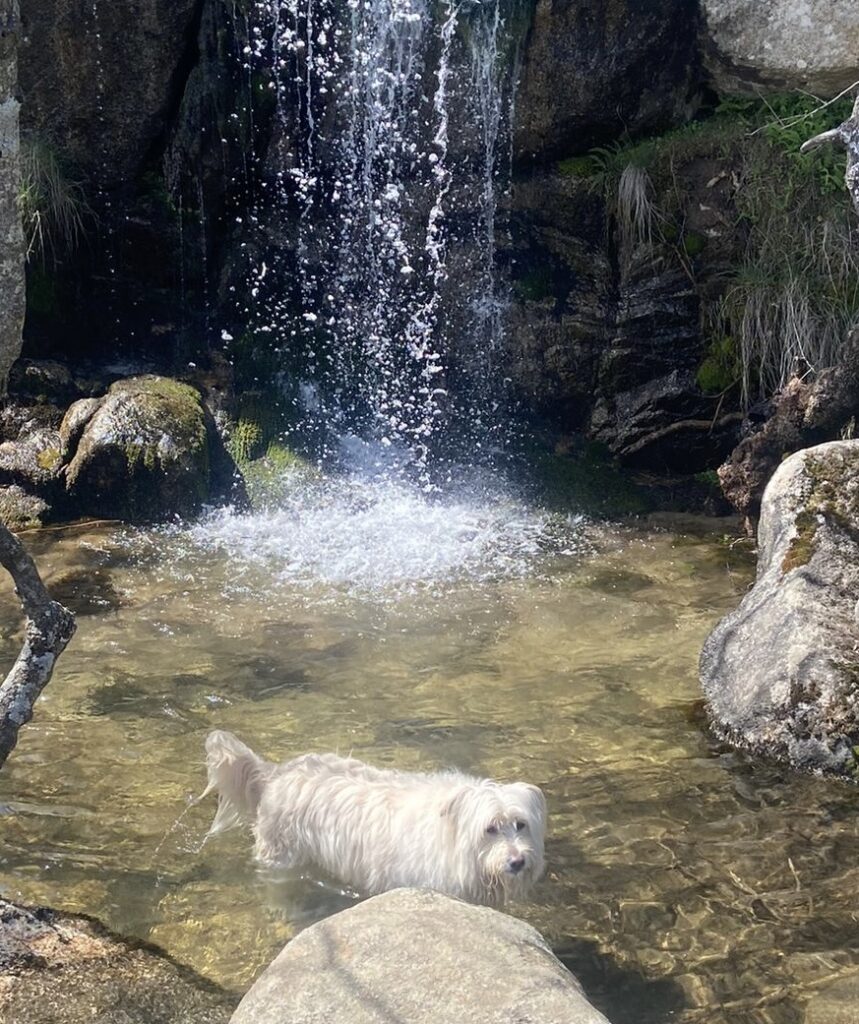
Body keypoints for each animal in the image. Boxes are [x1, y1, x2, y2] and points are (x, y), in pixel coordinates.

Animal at [204, 729, 548, 905]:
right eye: (490, 828)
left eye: (520, 825)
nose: (518, 861)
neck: (449, 833)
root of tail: (274, 775)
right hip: (280, 854)